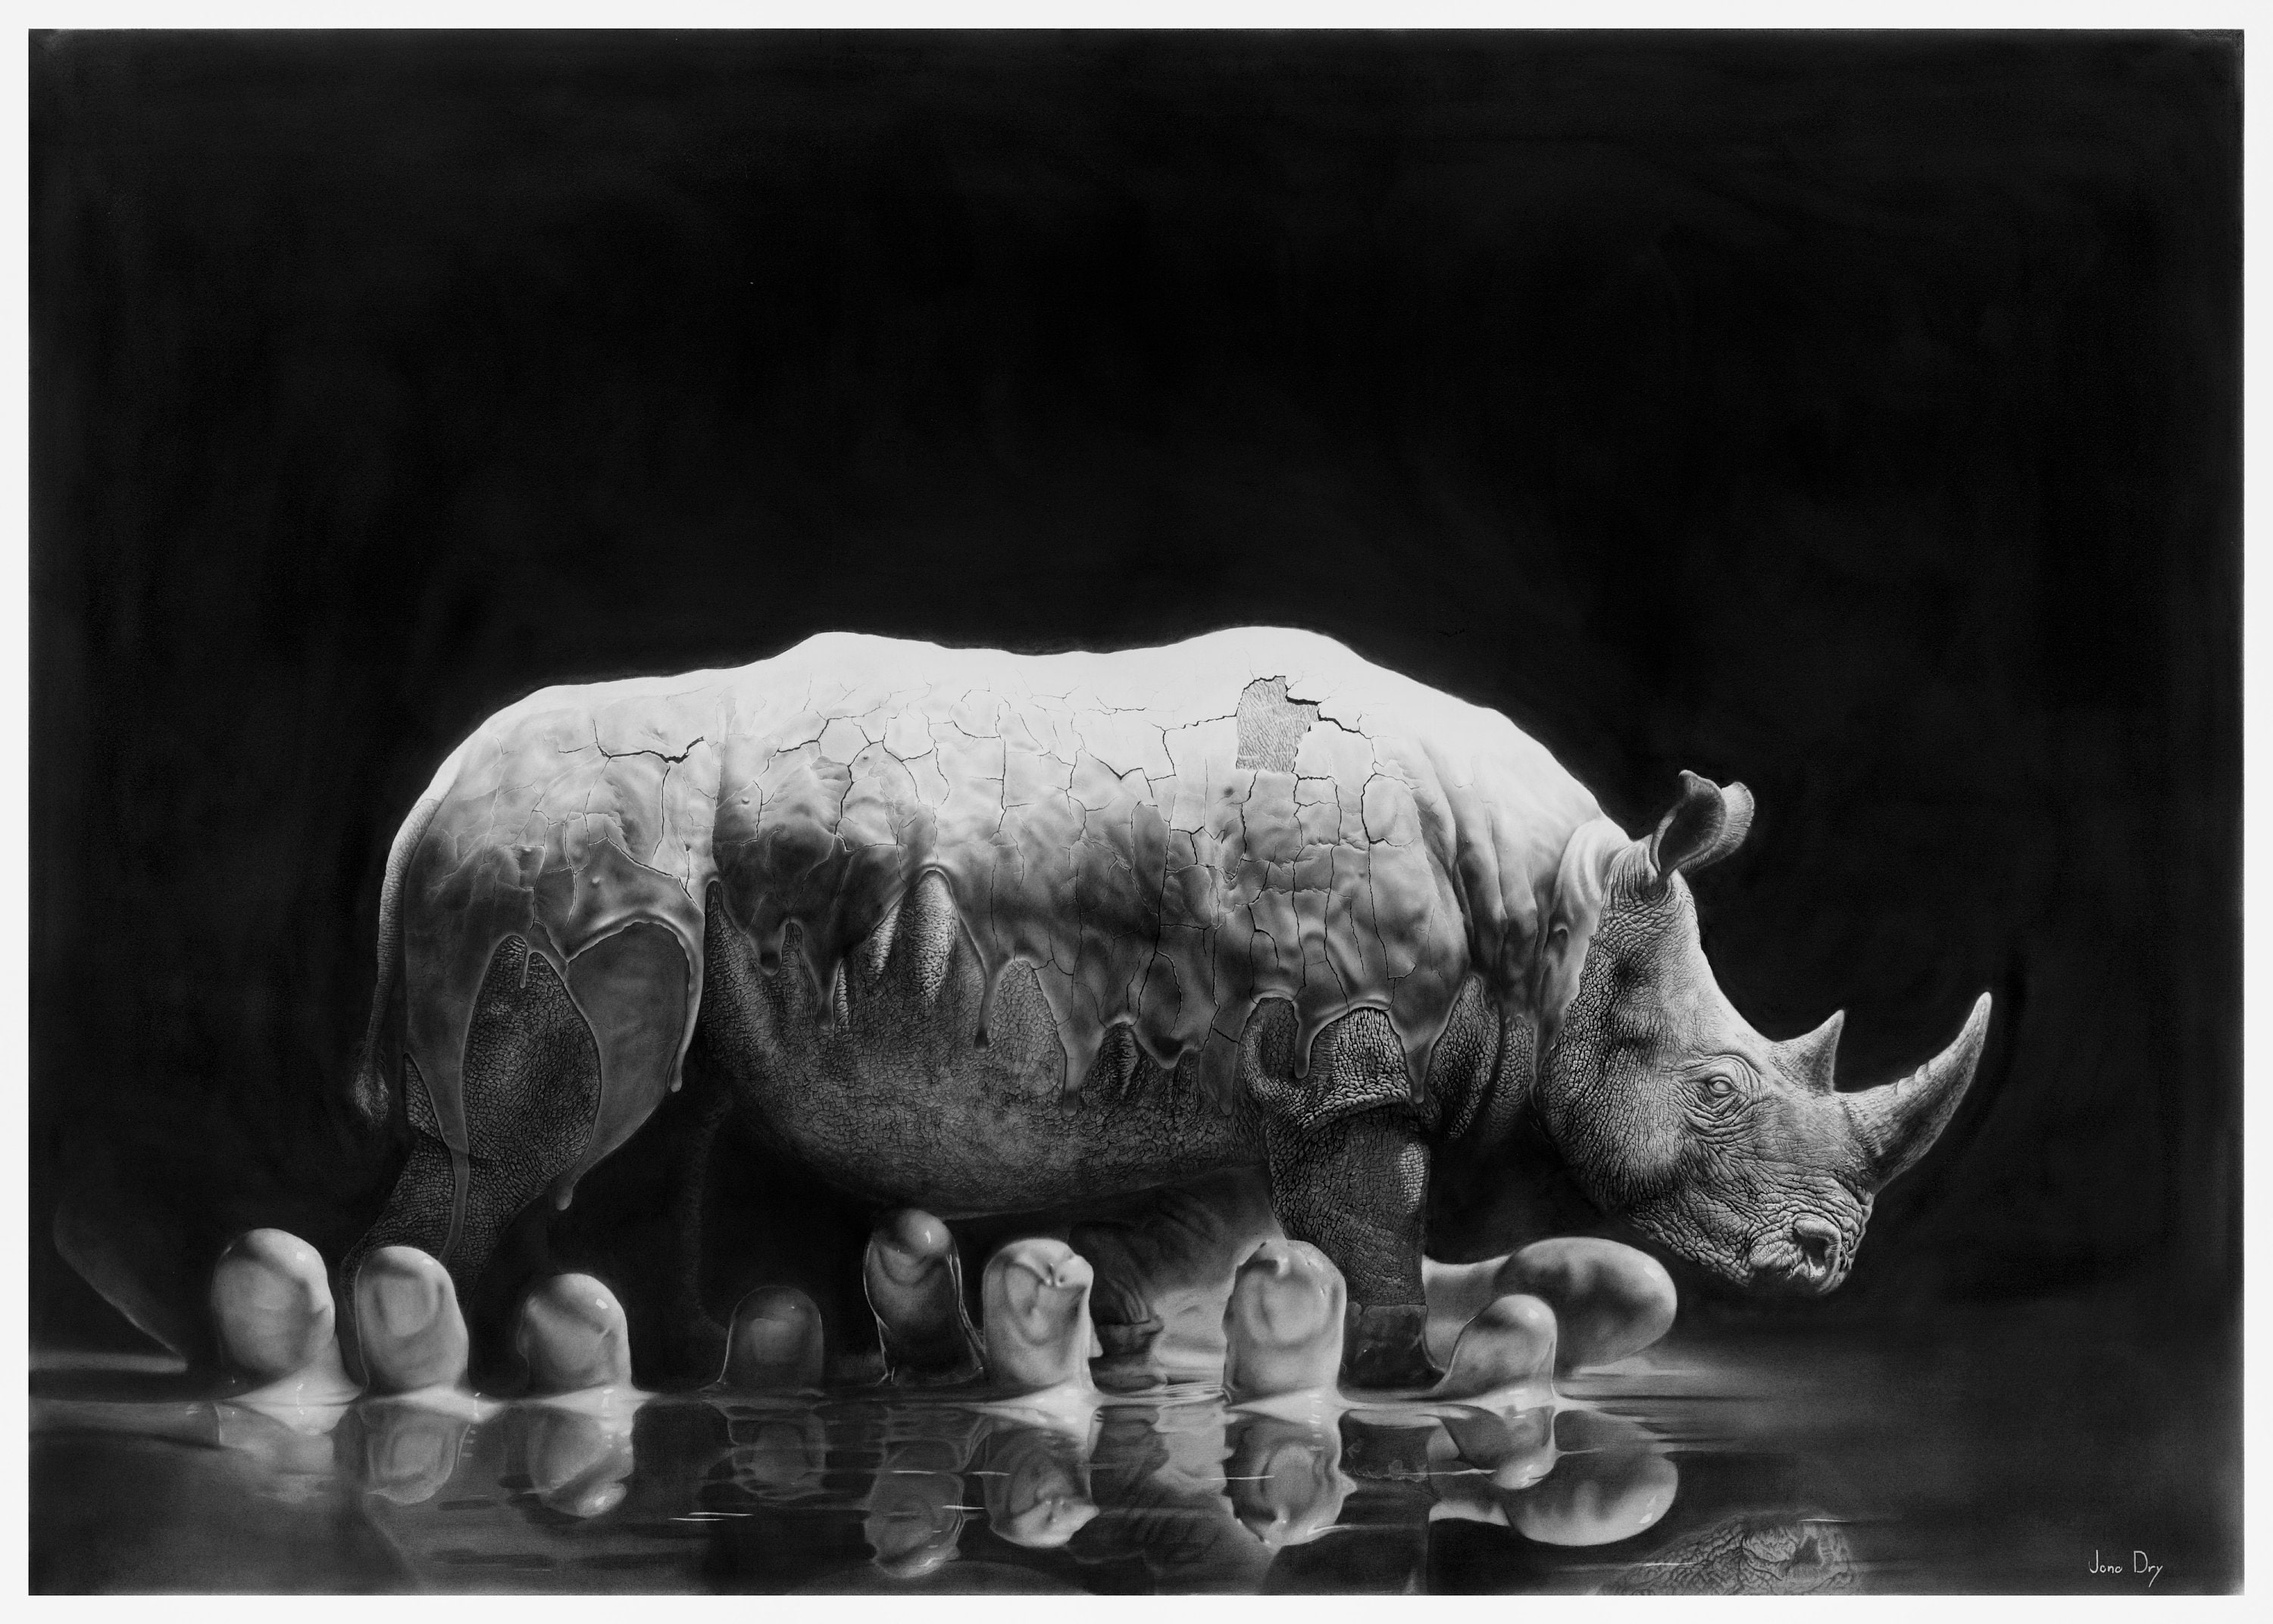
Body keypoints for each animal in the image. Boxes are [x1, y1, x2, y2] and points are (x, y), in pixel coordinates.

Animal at [338, 627, 1990, 1388]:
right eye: (1715, 1093)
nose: (1826, 1262)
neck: (1559, 918)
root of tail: (419, 805)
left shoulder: (1261, 1071)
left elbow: (1211, 1231)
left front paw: (1132, 1348)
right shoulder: (1353, 1070)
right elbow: (1372, 1224)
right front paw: (1407, 1377)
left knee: (701, 1121)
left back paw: (732, 1359)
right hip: (557, 854)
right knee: (539, 1138)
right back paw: (417, 1345)